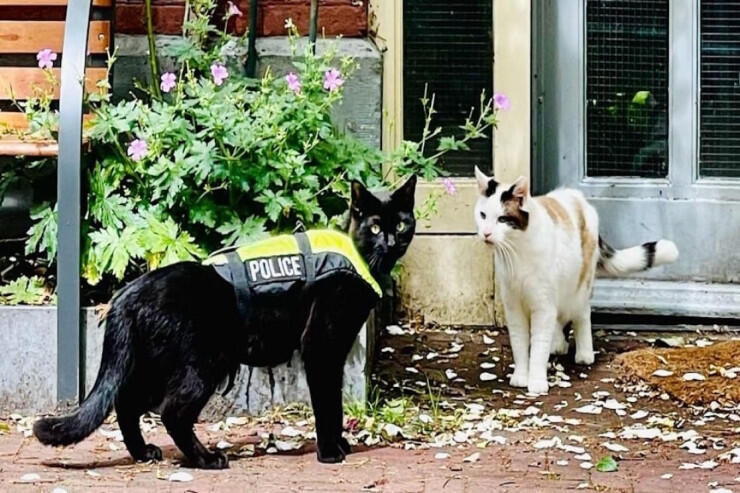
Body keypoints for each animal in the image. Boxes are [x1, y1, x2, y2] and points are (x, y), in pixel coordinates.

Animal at [33, 175, 416, 468]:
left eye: (400, 223)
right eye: (376, 226)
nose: (391, 241)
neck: (361, 260)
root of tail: (127, 293)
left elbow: (333, 401)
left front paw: (339, 444)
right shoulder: (321, 344)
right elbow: (327, 403)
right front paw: (329, 451)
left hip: (154, 363)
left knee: (126, 403)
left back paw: (143, 453)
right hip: (203, 362)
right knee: (171, 411)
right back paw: (206, 459)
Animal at [474, 167, 676, 394]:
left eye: (502, 219)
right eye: (483, 215)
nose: (486, 233)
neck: (517, 254)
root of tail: (577, 197)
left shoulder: (542, 305)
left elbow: (539, 345)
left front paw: (536, 382)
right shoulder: (514, 307)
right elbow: (519, 343)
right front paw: (521, 376)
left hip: (579, 287)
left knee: (582, 313)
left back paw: (584, 353)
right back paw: (558, 344)